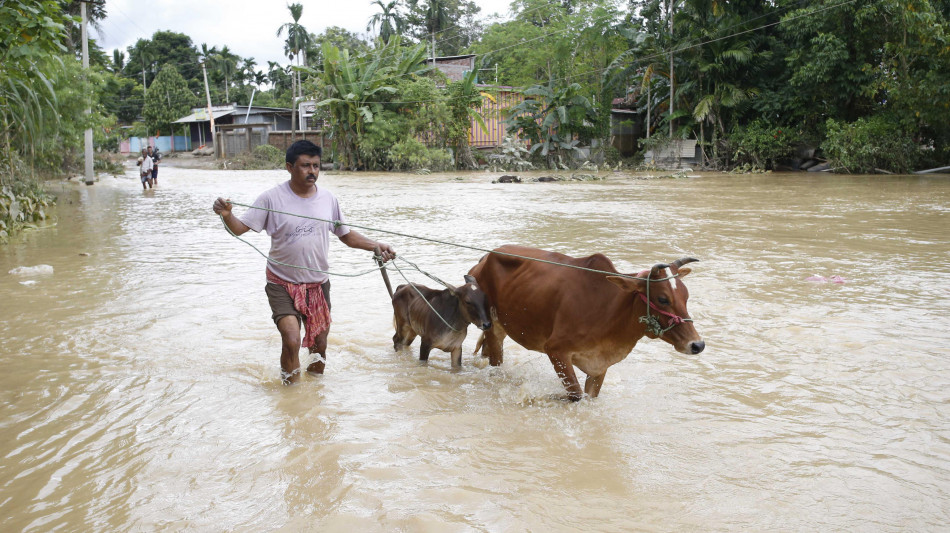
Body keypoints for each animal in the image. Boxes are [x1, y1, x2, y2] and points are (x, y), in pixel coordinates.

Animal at [470, 245, 708, 400]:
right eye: (662, 299)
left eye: (686, 296)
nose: (697, 344)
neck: (610, 310)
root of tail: (484, 259)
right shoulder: (556, 350)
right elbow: (575, 395)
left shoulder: (599, 366)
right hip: (491, 325)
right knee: (495, 361)